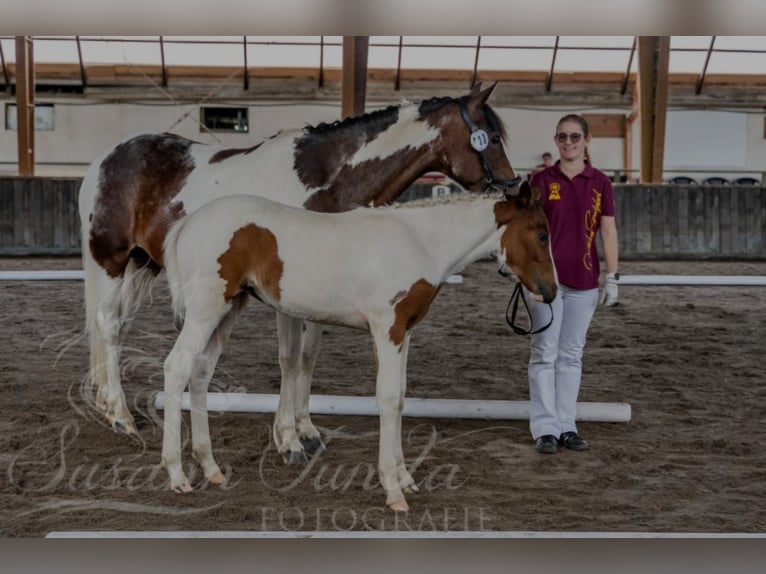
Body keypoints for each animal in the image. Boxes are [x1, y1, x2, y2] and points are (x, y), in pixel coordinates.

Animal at [78, 82, 520, 464]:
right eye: (492, 138)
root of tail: (104, 162)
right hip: (110, 260)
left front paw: (306, 430)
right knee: (108, 323)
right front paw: (287, 440)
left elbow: (307, 358)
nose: (514, 186)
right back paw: (120, 415)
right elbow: (289, 359)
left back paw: (106, 401)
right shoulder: (284, 296)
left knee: (117, 326)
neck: (322, 179)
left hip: (142, 264)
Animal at [164, 184, 560, 512]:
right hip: (206, 310)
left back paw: (211, 467)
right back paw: (177, 475)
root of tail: (187, 223)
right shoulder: (387, 328)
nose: (551, 291)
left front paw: (405, 478)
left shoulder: (404, 332)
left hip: (229, 310)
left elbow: (400, 398)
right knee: (177, 366)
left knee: (200, 372)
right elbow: (387, 397)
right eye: (541, 234)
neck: (420, 242)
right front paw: (393, 490)